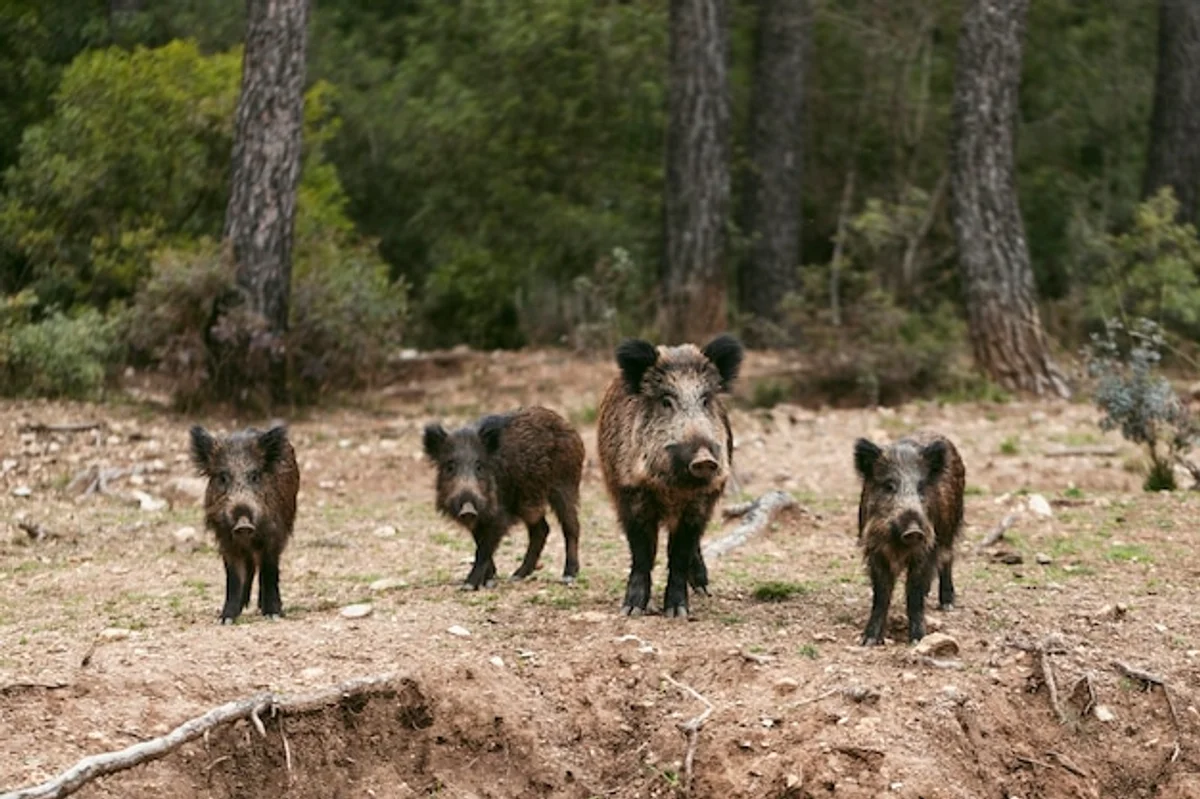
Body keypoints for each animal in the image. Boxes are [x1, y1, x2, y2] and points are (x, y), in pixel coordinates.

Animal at [190, 424, 300, 624]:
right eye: (223, 477)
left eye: (255, 476)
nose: (243, 524)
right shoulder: (225, 540)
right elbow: (234, 576)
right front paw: (226, 619)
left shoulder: (273, 535)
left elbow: (269, 570)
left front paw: (273, 615)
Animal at [422, 406, 584, 590]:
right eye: (450, 466)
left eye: (479, 466)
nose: (468, 509)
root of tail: (568, 425)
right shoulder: (480, 518)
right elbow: (480, 542)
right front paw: (489, 580)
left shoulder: (499, 516)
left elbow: (484, 548)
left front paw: (468, 586)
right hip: (529, 503)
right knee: (542, 529)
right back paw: (516, 576)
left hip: (565, 484)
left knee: (571, 527)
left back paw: (568, 576)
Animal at [597, 334, 743, 617]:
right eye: (666, 401)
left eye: (705, 400)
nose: (704, 459)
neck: (673, 490)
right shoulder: (630, 492)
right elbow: (642, 552)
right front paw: (631, 609)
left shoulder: (701, 501)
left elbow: (680, 554)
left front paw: (677, 612)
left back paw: (703, 589)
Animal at [853, 431, 966, 645]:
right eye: (889, 486)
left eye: (921, 487)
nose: (914, 530)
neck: (899, 545)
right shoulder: (875, 550)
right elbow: (881, 594)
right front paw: (868, 641)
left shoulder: (927, 548)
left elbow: (914, 592)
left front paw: (917, 640)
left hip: (951, 527)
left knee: (948, 558)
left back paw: (947, 604)